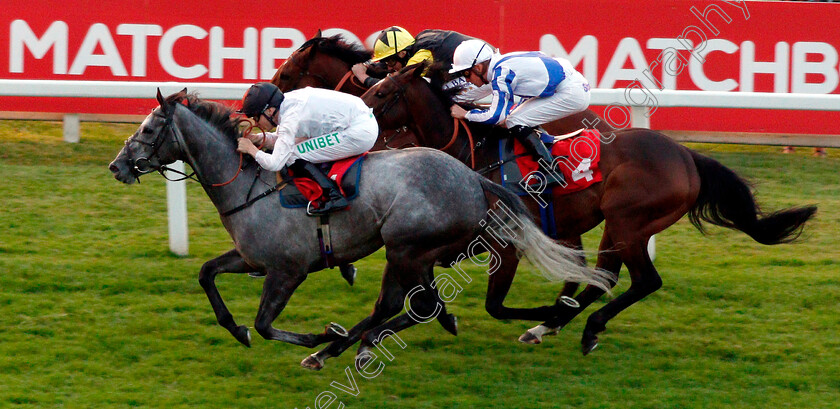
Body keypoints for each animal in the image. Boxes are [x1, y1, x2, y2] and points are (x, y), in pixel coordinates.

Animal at [110, 90, 612, 370]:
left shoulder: (288, 270)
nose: (117, 166)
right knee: (421, 306)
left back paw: (336, 347)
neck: (249, 187)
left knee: (401, 305)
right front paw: (236, 331)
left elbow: (267, 324)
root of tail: (473, 177)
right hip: (417, 252)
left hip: (405, 248)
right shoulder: (252, 258)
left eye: (150, 128)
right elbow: (207, 275)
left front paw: (317, 336)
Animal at [362, 63, 820, 354]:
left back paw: (578, 327)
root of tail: (687, 157)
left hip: (629, 222)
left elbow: (493, 304)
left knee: (642, 281)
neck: (471, 155)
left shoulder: (505, 245)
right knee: (605, 277)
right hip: (615, 226)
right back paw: (551, 325)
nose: (360, 121)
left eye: (382, 93)